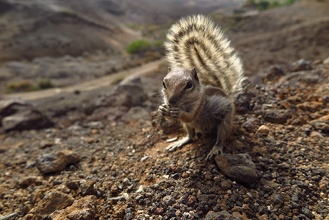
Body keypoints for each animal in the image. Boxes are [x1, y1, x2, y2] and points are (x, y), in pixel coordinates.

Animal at [158, 14, 245, 159]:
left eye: (189, 85)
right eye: (164, 83)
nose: (171, 101)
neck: (183, 104)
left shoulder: (200, 104)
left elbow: (190, 116)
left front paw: (178, 112)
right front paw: (162, 109)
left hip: (226, 121)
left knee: (221, 137)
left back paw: (215, 149)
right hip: (187, 126)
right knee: (191, 136)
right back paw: (180, 142)